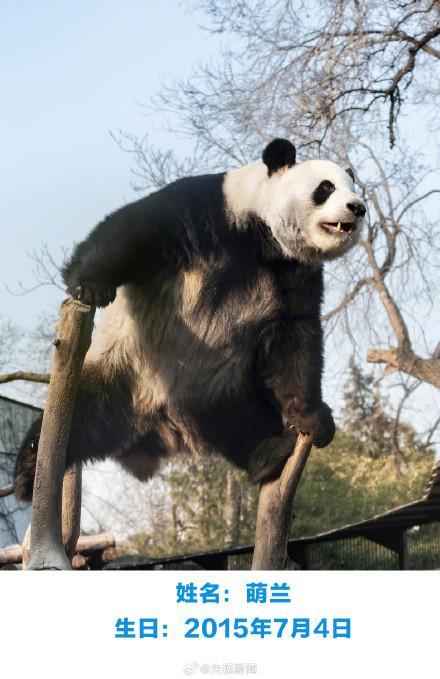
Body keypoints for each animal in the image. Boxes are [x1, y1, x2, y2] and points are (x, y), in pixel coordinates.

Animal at [13, 138, 364, 502]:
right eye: (326, 187)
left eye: (354, 187)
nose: (357, 207)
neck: (262, 241)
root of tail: (156, 423)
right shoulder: (209, 212)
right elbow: (133, 229)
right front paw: (89, 284)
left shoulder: (293, 272)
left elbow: (294, 337)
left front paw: (313, 419)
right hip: (121, 367)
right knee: (80, 413)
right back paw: (29, 471)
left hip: (214, 381)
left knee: (235, 419)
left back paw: (268, 453)